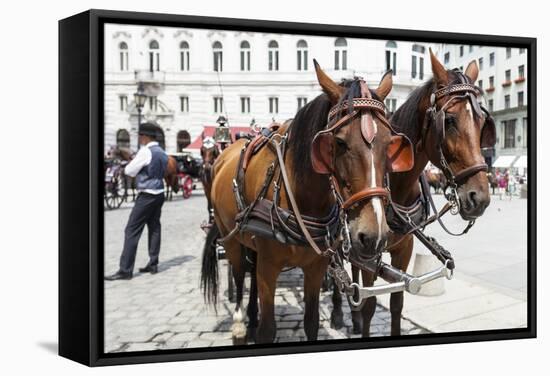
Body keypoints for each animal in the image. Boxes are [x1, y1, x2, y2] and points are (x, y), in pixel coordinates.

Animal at [202, 61, 414, 344]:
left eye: (390, 144)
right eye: (339, 142)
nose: (373, 235)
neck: (301, 199)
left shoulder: (315, 266)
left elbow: (311, 322)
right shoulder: (269, 268)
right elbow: (268, 329)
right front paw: (257, 326)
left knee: (250, 271)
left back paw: (252, 316)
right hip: (231, 237)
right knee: (238, 273)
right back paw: (239, 323)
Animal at [350, 48, 500, 336]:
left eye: (482, 123)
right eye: (449, 120)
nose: (480, 198)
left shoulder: (405, 247)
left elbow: (397, 301)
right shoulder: (367, 250)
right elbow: (369, 304)